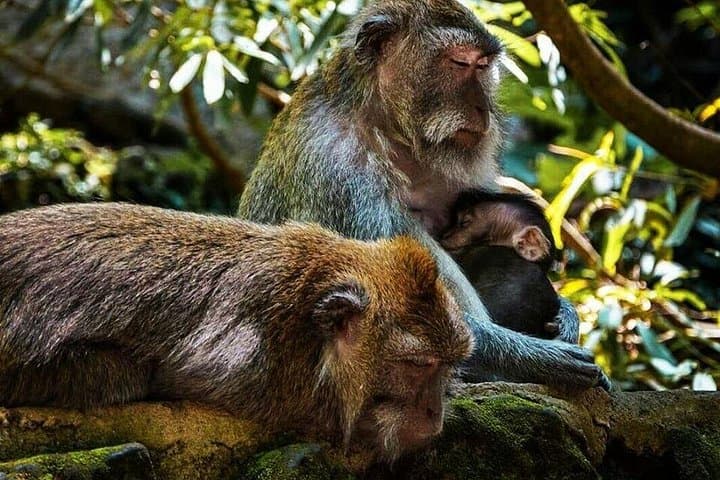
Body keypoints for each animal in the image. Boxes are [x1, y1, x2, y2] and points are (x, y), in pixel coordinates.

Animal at [237, 0, 607, 388]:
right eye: (460, 62)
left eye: (483, 66)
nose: (484, 109)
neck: (386, 126)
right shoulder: (339, 174)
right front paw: (543, 359)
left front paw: (567, 316)